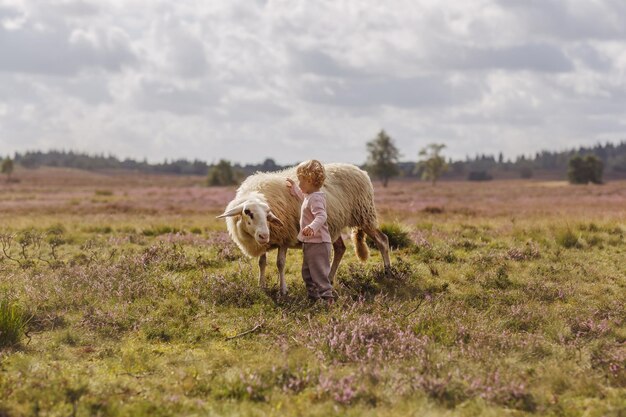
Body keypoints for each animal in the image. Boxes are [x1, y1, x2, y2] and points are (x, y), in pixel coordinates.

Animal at [217, 162, 388, 292]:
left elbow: (280, 263)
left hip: (364, 214)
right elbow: (262, 263)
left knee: (382, 240)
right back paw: (330, 279)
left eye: (267, 214)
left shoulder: (285, 238)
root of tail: (360, 170)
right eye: (248, 212)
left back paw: (388, 272)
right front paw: (262, 286)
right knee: (340, 248)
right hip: (333, 225)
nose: (264, 235)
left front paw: (283, 290)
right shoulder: (264, 242)